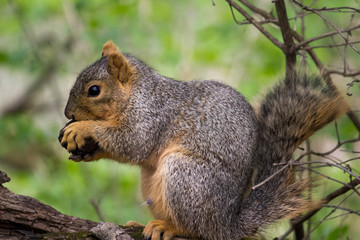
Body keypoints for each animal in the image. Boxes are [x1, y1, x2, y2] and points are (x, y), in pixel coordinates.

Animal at [58, 41, 348, 240]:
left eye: (94, 90)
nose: (68, 114)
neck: (137, 93)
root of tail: (227, 224)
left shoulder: (151, 117)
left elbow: (132, 142)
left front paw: (82, 128)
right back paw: (140, 225)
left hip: (185, 176)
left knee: (198, 230)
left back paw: (169, 228)